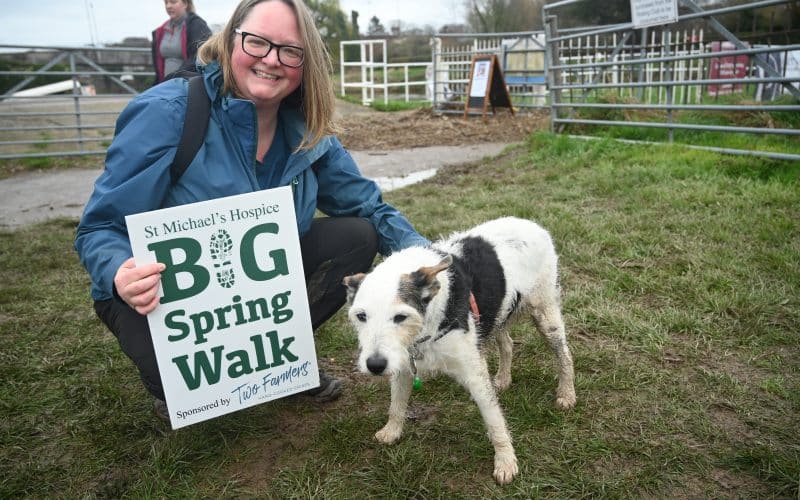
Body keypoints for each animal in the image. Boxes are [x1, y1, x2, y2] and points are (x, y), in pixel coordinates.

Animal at [344, 218, 576, 484]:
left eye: (401, 317)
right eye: (361, 316)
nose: (374, 366)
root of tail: (533, 224)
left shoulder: (473, 373)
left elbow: (494, 420)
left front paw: (505, 461)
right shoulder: (402, 363)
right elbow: (396, 404)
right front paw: (391, 431)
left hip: (545, 313)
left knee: (565, 355)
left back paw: (567, 393)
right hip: (496, 314)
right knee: (507, 343)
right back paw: (503, 378)